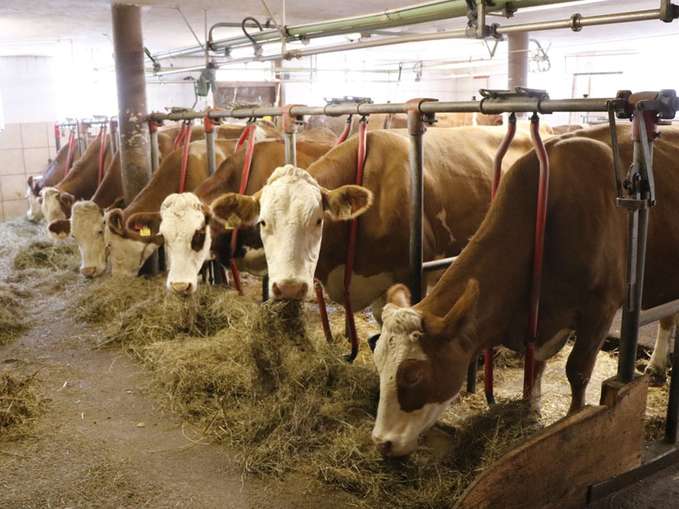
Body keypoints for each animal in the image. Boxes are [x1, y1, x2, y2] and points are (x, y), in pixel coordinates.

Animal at [370, 126, 679, 456]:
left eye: (413, 375)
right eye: (377, 360)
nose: (382, 442)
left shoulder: (601, 309)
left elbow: (578, 371)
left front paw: (574, 420)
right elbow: (536, 368)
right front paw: (531, 412)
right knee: (668, 316)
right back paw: (657, 367)